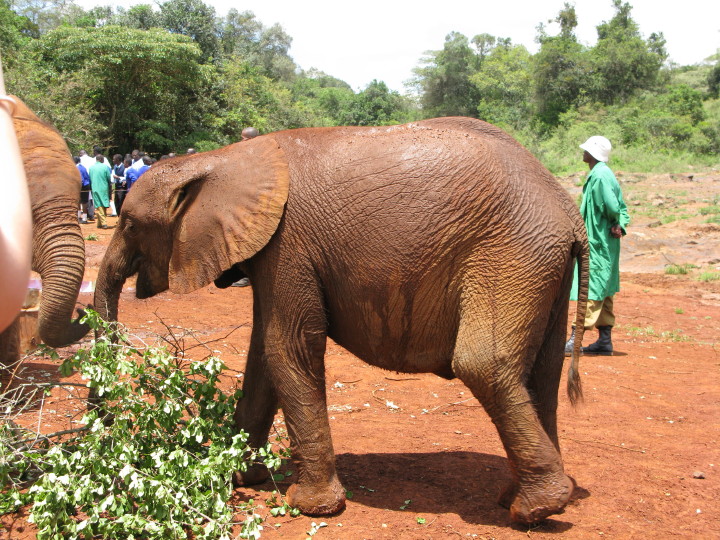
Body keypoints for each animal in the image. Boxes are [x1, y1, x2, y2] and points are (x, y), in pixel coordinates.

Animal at [93, 117, 589, 524]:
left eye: (131, 225)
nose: (107, 432)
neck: (222, 160)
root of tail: (569, 214)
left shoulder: (288, 243)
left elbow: (286, 348)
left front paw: (308, 506)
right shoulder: (272, 251)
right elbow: (263, 357)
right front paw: (236, 477)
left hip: (511, 253)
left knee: (483, 364)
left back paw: (536, 508)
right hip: (541, 263)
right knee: (542, 375)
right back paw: (527, 498)